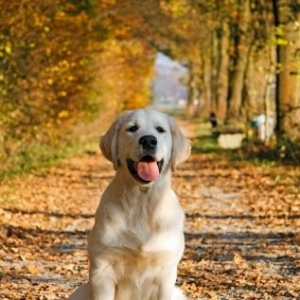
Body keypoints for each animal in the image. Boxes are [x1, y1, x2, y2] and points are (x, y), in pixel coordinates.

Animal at [68, 108, 190, 300]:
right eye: (132, 128)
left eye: (160, 130)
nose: (148, 140)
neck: (141, 203)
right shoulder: (102, 269)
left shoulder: (166, 272)